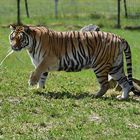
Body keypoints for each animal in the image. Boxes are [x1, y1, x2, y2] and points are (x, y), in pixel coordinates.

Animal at [8, 24, 139, 100]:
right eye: (12, 37)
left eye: (20, 38)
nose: (13, 47)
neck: (30, 46)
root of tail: (119, 37)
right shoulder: (42, 63)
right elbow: (42, 77)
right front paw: (39, 89)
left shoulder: (48, 60)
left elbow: (37, 71)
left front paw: (31, 82)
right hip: (115, 67)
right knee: (126, 83)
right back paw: (122, 97)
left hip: (100, 65)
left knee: (105, 84)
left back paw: (95, 96)